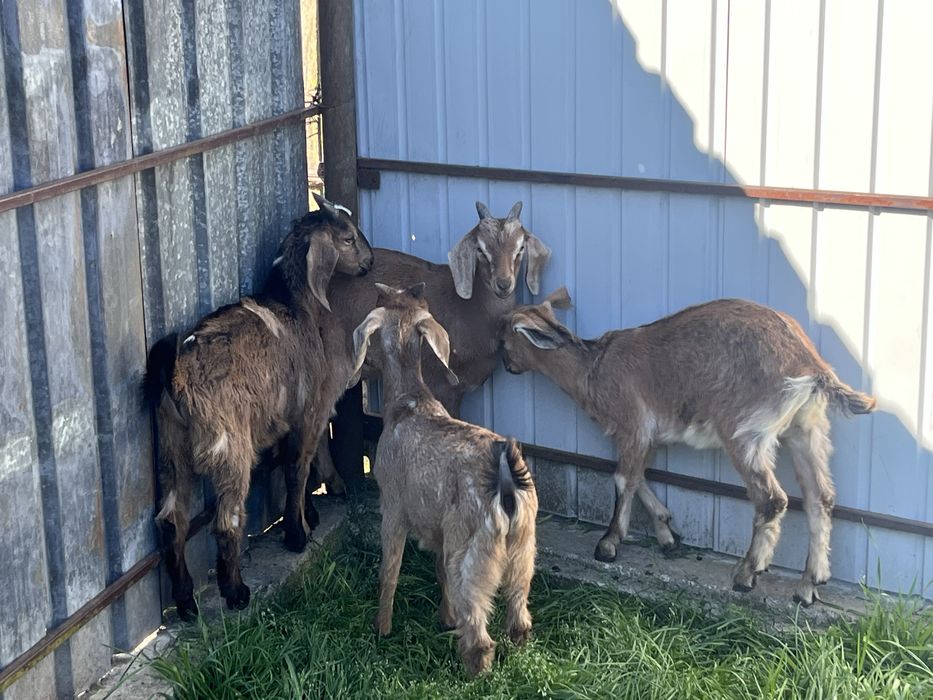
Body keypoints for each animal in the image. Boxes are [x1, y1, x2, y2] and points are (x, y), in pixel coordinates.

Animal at [142, 193, 374, 617]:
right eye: (348, 238)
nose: (371, 262)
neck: (295, 306)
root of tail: (175, 375)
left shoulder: (283, 415)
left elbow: (289, 462)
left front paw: (307, 516)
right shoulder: (308, 411)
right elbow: (299, 468)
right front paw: (298, 534)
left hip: (171, 449)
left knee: (171, 520)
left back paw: (186, 602)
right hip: (229, 445)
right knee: (227, 519)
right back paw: (235, 591)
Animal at [352, 283, 538, 676]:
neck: (408, 402)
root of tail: (506, 487)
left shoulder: (393, 506)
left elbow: (390, 569)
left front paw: (382, 626)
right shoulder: (439, 527)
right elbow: (438, 571)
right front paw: (445, 617)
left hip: (473, 550)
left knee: (480, 632)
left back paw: (473, 669)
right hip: (523, 549)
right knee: (519, 616)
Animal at [500, 288, 875, 605]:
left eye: (504, 338)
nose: (507, 366)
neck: (593, 369)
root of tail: (811, 366)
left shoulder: (633, 426)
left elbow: (622, 479)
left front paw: (608, 544)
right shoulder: (650, 436)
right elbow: (638, 476)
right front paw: (667, 534)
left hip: (746, 433)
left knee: (772, 499)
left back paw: (747, 574)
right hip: (807, 429)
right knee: (820, 497)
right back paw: (809, 585)